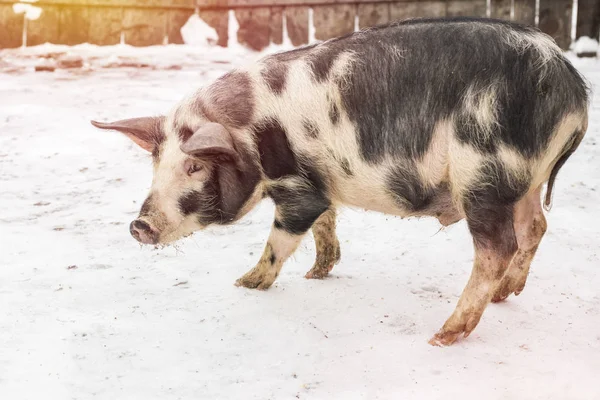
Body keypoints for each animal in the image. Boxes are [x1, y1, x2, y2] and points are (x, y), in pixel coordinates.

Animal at [91, 17, 588, 346]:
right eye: (156, 163)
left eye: (194, 167)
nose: (138, 225)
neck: (248, 131)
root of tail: (574, 90)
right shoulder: (319, 182)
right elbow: (326, 222)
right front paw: (318, 273)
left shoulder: (294, 185)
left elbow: (285, 235)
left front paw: (243, 284)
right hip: (524, 181)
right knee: (535, 226)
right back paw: (505, 296)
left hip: (485, 171)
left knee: (497, 246)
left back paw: (443, 336)